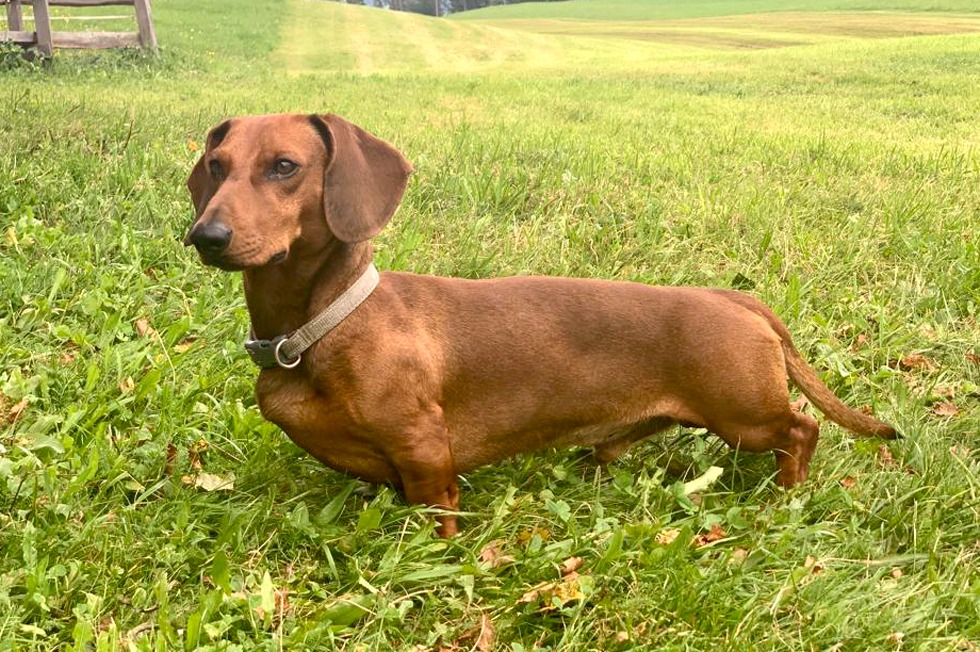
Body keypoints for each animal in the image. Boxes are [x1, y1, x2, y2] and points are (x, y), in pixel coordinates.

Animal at [184, 114, 896, 536]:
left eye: (285, 166)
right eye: (217, 165)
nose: (205, 236)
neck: (322, 326)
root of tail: (735, 299)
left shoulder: (424, 451)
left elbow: (438, 512)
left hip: (744, 415)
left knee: (801, 430)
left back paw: (785, 497)